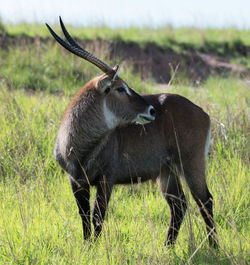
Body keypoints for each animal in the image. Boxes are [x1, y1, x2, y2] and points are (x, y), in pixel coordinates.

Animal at [46, 17, 217, 246]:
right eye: (120, 88)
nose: (151, 110)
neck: (79, 145)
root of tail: (202, 112)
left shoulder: (106, 179)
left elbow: (98, 216)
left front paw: (95, 249)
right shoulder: (76, 182)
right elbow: (84, 218)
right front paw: (87, 247)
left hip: (191, 164)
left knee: (205, 201)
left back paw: (214, 247)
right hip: (168, 172)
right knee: (179, 205)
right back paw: (168, 247)